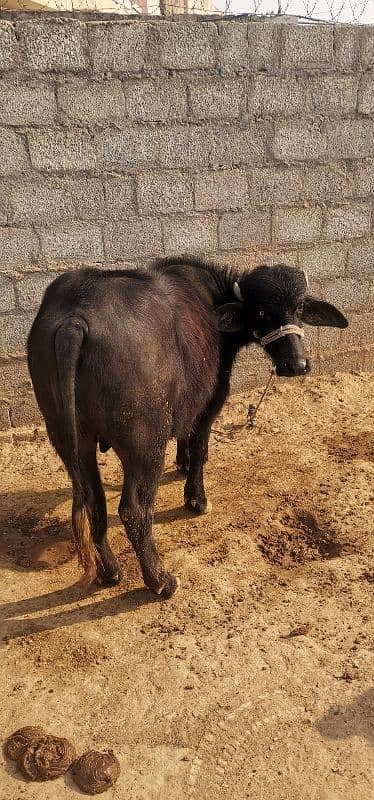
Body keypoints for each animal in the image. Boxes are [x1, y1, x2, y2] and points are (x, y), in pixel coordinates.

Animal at [26, 260, 348, 596]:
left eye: (298, 307)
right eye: (261, 311)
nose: (296, 365)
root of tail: (74, 322)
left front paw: (181, 463)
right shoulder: (210, 403)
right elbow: (200, 450)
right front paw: (197, 499)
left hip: (72, 441)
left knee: (93, 503)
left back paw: (110, 571)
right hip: (145, 444)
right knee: (134, 510)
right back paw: (161, 580)